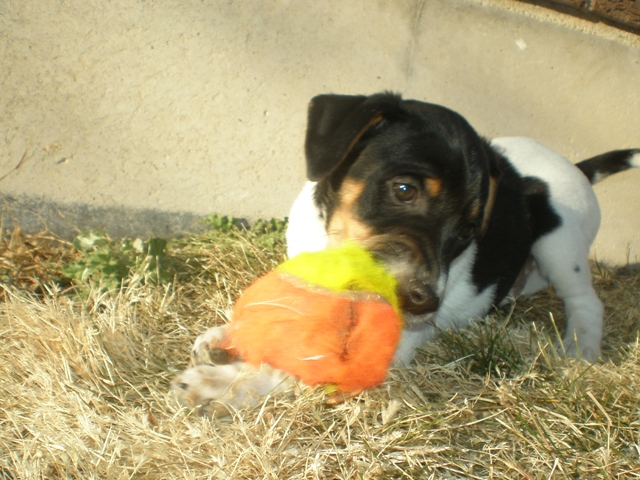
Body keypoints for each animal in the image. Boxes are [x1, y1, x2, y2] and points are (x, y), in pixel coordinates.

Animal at [172, 93, 636, 412]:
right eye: (404, 189)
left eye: (468, 229)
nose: (425, 303)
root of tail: (577, 166)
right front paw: (229, 337)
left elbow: (302, 363)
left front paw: (223, 386)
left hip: (561, 241)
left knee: (586, 302)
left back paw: (579, 352)